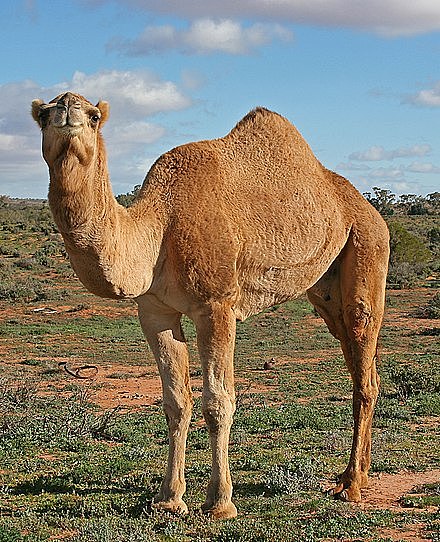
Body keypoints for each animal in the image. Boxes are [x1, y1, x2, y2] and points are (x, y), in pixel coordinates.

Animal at [31, 93, 388, 524]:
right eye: (43, 114)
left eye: (95, 115)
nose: (67, 108)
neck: (158, 229)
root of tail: (367, 207)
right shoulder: (155, 311)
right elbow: (175, 402)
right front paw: (169, 498)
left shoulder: (216, 305)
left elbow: (218, 402)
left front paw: (219, 502)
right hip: (326, 290)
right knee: (360, 364)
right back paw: (356, 475)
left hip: (367, 246)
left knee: (364, 360)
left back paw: (351, 485)